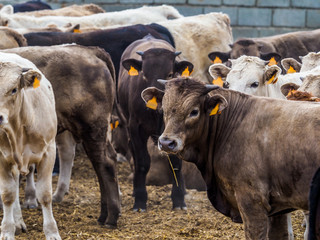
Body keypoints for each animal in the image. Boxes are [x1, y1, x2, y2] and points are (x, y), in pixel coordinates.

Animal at [0, 52, 60, 240]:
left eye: (14, 89)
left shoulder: (49, 152)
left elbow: (45, 195)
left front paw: (52, 232)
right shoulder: (1, 158)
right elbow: (8, 194)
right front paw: (7, 231)